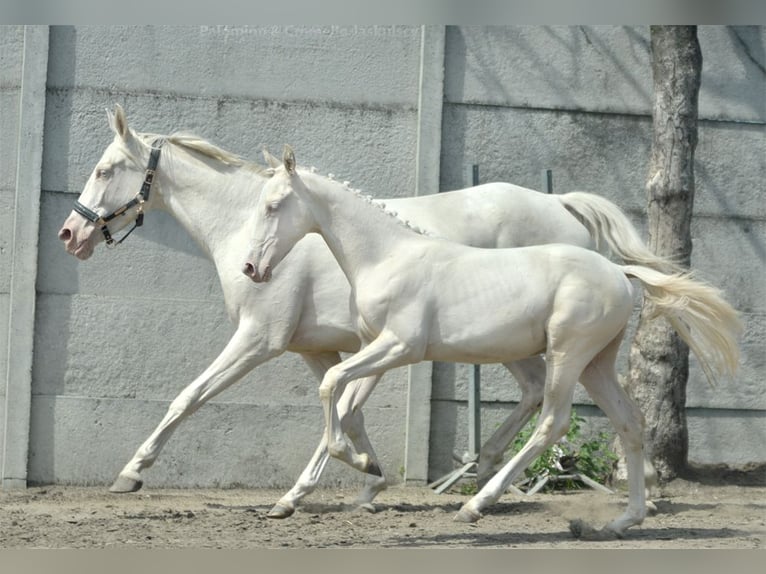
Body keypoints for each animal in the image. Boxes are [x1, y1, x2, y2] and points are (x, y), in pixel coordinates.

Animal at [58, 106, 680, 520]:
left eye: (105, 168)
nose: (71, 234)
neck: (242, 229)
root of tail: (561, 203)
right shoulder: (317, 348)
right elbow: (345, 409)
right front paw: (368, 479)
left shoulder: (260, 339)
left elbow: (190, 396)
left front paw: (130, 474)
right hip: (517, 344)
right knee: (541, 397)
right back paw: (504, 474)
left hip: (536, 344)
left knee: (549, 406)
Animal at [244, 145, 744, 540]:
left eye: (275, 204)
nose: (251, 268)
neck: (387, 256)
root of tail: (620, 272)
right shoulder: (376, 347)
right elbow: (345, 401)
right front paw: (356, 473)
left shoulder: (399, 346)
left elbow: (331, 382)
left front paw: (357, 467)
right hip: (596, 363)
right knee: (630, 422)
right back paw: (622, 522)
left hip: (568, 353)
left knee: (552, 422)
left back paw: (477, 503)